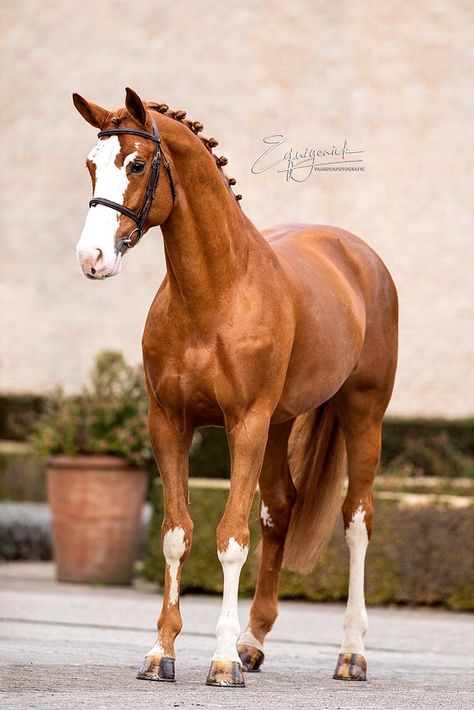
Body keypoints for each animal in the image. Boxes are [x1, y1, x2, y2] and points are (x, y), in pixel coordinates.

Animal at [73, 86, 396, 688]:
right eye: (90, 164)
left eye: (137, 164)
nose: (92, 258)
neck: (215, 295)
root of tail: (357, 254)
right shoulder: (169, 424)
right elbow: (178, 532)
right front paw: (162, 652)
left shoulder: (244, 424)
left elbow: (230, 539)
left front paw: (220, 660)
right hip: (280, 424)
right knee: (280, 510)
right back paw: (254, 641)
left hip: (362, 414)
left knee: (357, 520)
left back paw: (351, 653)